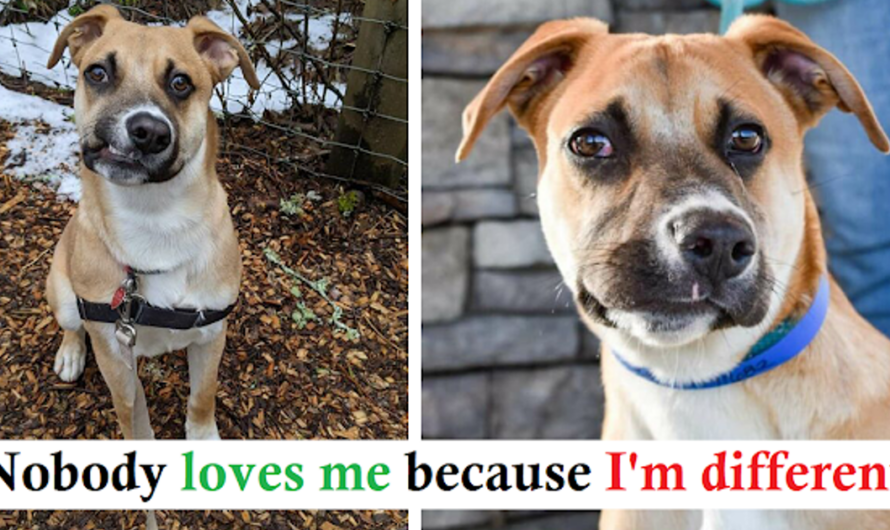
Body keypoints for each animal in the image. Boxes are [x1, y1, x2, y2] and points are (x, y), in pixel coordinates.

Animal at [45, 6, 258, 440]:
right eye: (97, 73)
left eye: (181, 82)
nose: (147, 131)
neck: (156, 219)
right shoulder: (114, 355)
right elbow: (131, 414)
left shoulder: (212, 335)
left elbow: (203, 396)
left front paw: (203, 437)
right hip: (62, 293)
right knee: (72, 326)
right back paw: (71, 354)